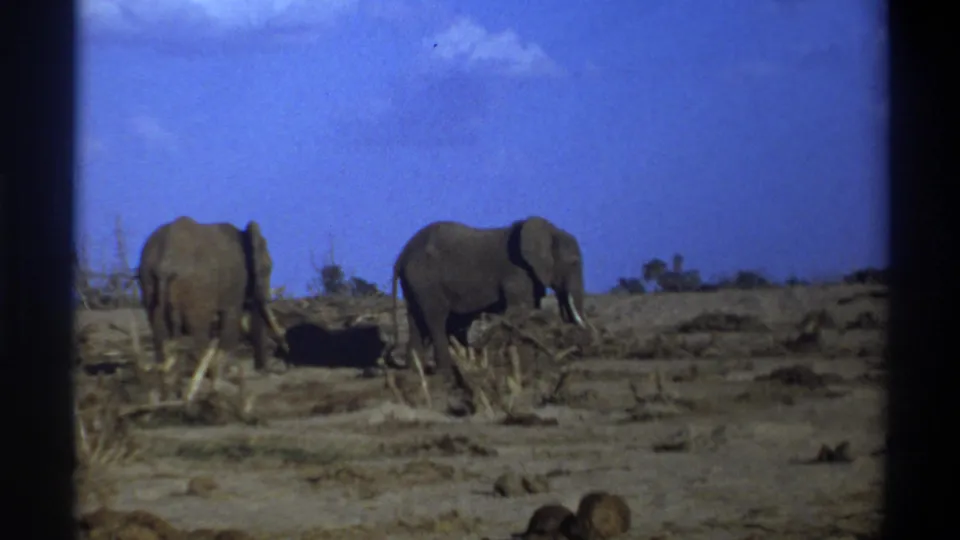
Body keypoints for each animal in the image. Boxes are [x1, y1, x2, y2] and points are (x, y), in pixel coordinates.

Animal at [137, 216, 288, 402]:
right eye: (267, 268)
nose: (266, 370)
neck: (245, 234)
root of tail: (165, 264)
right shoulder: (236, 282)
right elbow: (231, 322)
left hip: (149, 284)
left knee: (160, 337)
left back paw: (169, 396)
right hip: (197, 290)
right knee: (198, 335)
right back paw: (196, 391)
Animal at [390, 216, 587, 389]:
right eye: (574, 262)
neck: (550, 230)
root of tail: (401, 256)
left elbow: (530, 311)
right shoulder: (517, 273)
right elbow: (521, 309)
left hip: (414, 283)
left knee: (416, 321)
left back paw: (415, 374)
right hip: (425, 280)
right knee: (436, 318)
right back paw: (447, 375)